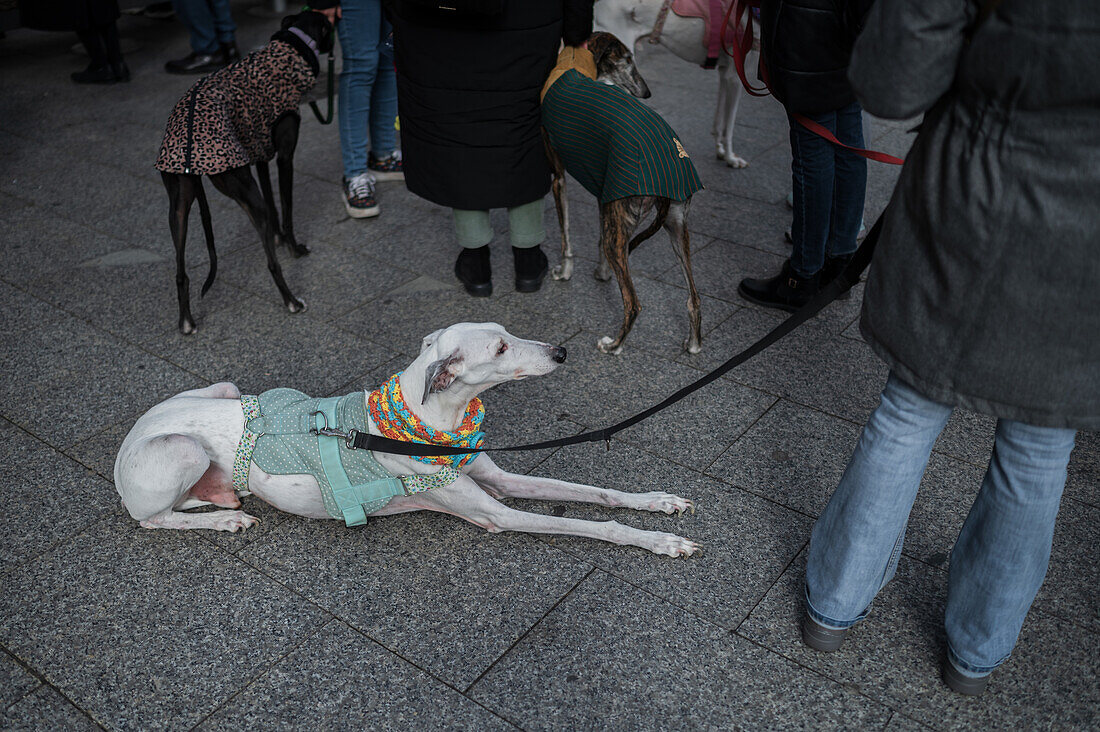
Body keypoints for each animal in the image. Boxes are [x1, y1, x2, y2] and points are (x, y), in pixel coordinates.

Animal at [111, 323, 695, 556]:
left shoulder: (497, 477)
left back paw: (223, 498)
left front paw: (660, 502)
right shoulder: (494, 514)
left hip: (224, 389)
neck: (428, 425)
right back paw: (223, 519)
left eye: (508, 333)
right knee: (152, 519)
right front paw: (660, 542)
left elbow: (598, 494)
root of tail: (130, 437)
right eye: (501, 348)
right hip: (181, 449)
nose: (561, 352)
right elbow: (593, 524)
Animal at [543, 33, 704, 354]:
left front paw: (565, 273)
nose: (647, 92)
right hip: (675, 225)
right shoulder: (604, 191)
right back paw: (693, 344)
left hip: (623, 229)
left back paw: (614, 345)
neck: (574, 62)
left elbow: (566, 236)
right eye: (627, 60)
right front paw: (602, 274)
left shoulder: (558, 177)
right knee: (693, 297)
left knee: (633, 303)